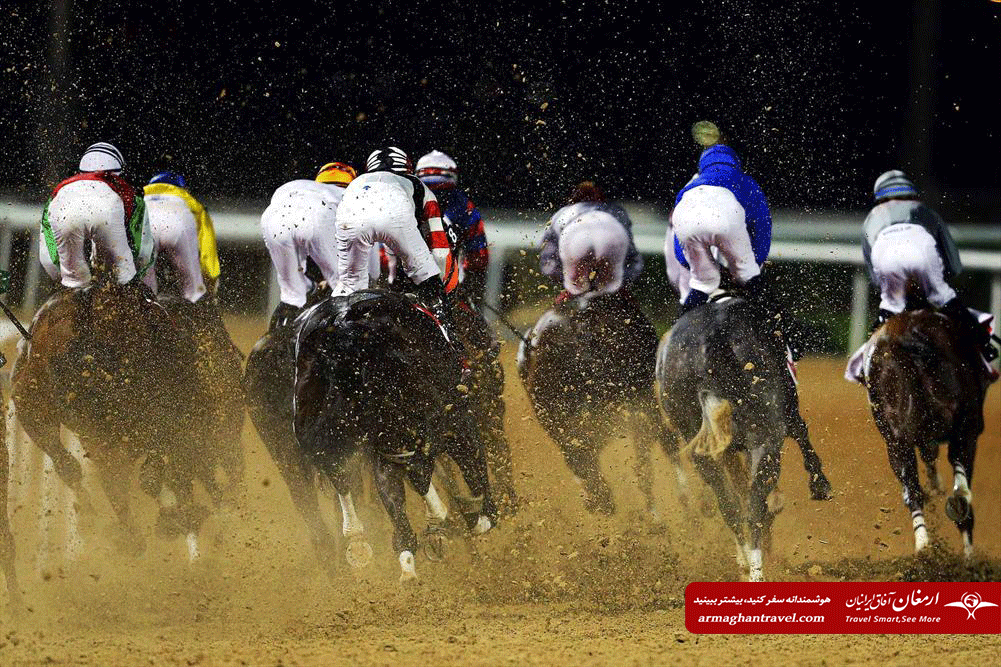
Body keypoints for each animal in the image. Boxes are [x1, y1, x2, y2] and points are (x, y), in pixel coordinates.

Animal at [292, 288, 496, 580]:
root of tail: (344, 325)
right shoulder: (455, 420)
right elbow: (469, 466)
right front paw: (478, 516)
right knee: (419, 468)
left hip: (320, 428)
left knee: (339, 471)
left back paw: (365, 542)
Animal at [656, 294, 788, 580]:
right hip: (764, 440)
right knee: (751, 504)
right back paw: (754, 569)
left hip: (708, 448)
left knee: (734, 506)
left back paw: (749, 567)